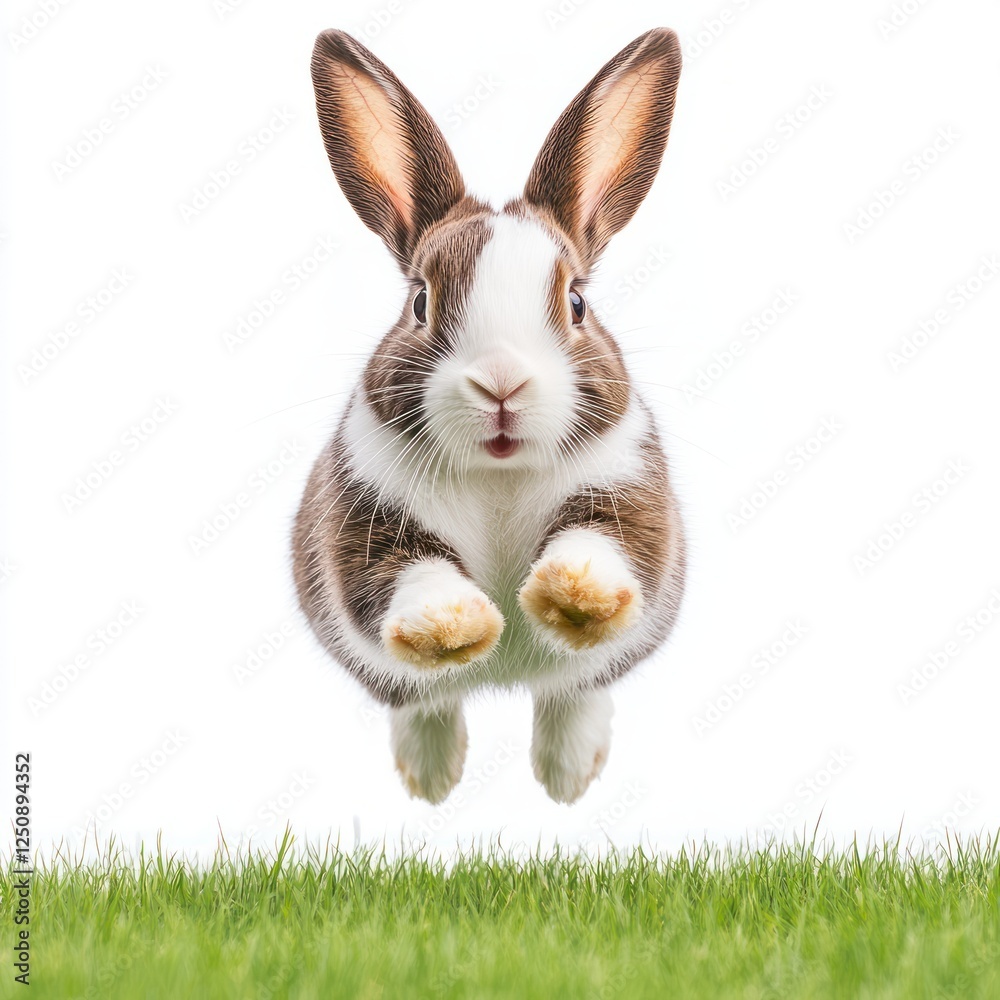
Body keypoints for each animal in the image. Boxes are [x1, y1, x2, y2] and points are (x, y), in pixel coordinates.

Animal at [293, 27, 686, 805]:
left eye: (576, 302)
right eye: (420, 301)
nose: (502, 383)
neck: (497, 474)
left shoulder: (630, 497)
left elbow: (601, 544)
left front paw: (575, 595)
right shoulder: (364, 525)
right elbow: (409, 578)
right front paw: (454, 627)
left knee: (573, 691)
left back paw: (568, 776)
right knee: (426, 702)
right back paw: (432, 777)